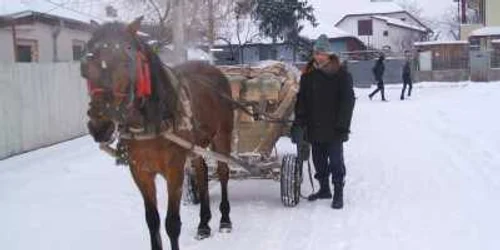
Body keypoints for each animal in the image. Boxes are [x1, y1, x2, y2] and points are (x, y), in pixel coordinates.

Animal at [80, 16, 234, 249]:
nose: (99, 125)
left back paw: (225, 220)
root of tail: (214, 70)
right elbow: (152, 221)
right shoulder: (140, 172)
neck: (151, 121)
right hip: (197, 146)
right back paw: (203, 224)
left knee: (224, 173)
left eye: (127, 62)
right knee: (202, 174)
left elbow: (172, 223)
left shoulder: (174, 170)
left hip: (222, 136)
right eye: (86, 65)